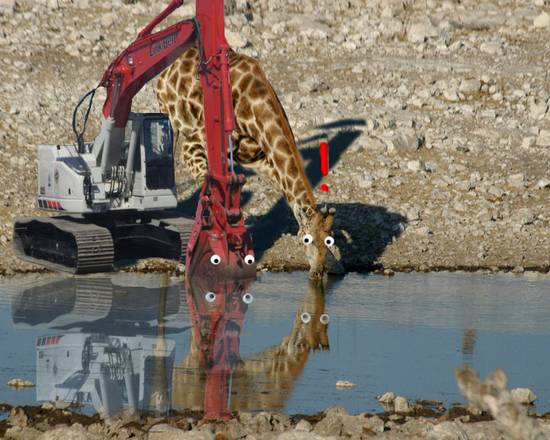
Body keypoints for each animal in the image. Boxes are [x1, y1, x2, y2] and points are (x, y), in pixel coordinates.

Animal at [156, 46, 344, 276]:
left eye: (330, 240)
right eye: (307, 240)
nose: (319, 272)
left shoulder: (261, 160)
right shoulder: (192, 146)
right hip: (168, 119)